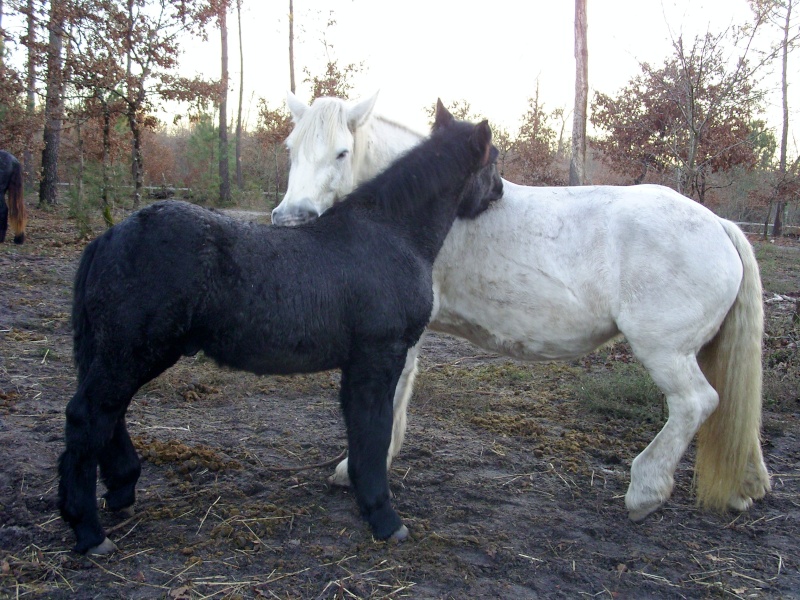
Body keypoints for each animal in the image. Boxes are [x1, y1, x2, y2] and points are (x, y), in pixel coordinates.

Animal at [272, 90, 772, 520]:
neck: (409, 213)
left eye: (342, 152)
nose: (290, 218)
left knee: (695, 403)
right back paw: (745, 488)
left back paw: (645, 490)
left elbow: (388, 395)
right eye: (290, 148)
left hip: (666, 352)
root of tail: (719, 224)